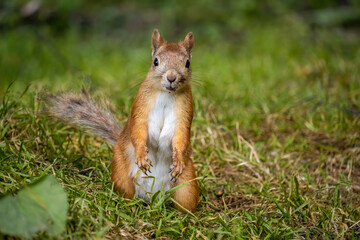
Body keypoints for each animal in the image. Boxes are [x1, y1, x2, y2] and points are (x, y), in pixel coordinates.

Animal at [44, 29, 200, 213]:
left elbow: (181, 137)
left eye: (187, 63)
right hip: (121, 173)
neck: (166, 94)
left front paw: (178, 160)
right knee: (126, 195)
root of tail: (153, 196)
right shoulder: (140, 108)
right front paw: (141, 155)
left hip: (187, 186)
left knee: (185, 204)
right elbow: (138, 130)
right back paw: (129, 207)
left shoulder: (184, 113)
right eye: (155, 61)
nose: (171, 77)